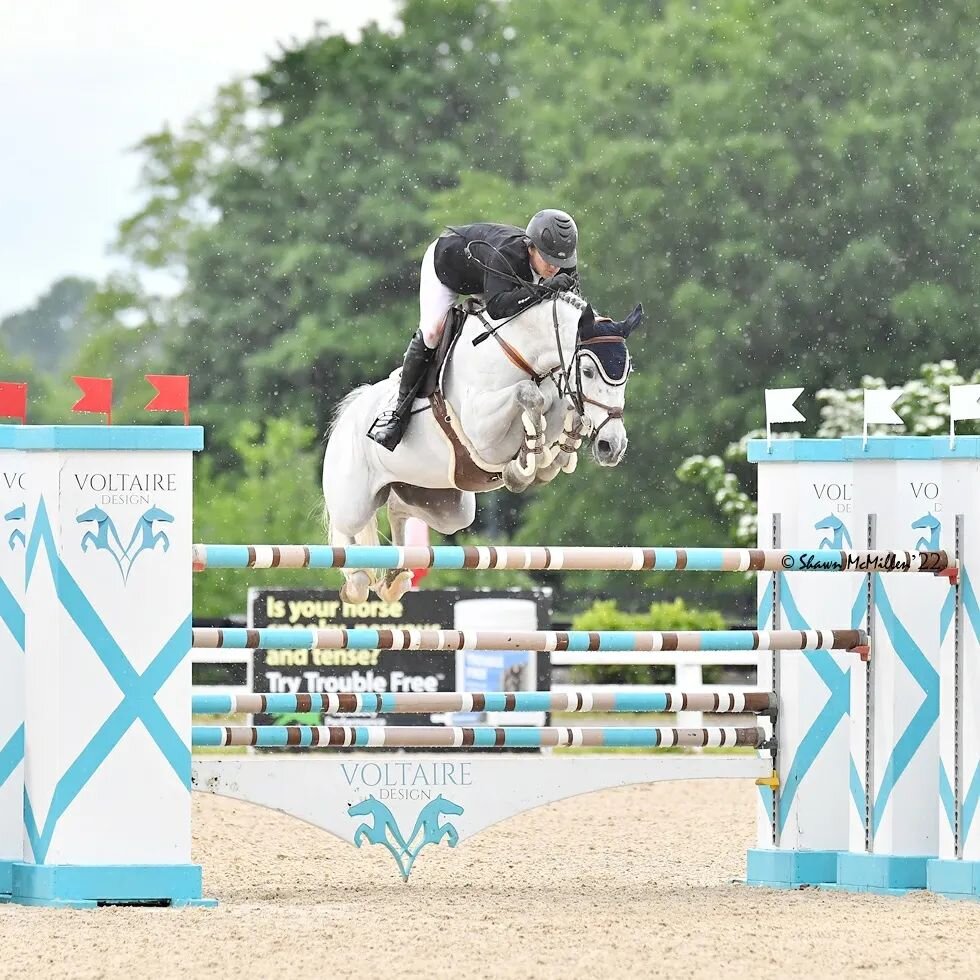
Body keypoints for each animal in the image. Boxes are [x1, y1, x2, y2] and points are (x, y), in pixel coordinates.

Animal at [322, 290, 644, 600]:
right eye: (588, 371)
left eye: (628, 372)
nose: (612, 446)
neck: (520, 353)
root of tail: (347, 416)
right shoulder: (482, 430)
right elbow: (530, 395)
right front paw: (525, 466)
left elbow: (559, 407)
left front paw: (547, 458)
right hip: (354, 503)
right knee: (345, 530)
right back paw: (357, 582)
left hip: (444, 505)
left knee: (398, 510)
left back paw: (394, 579)